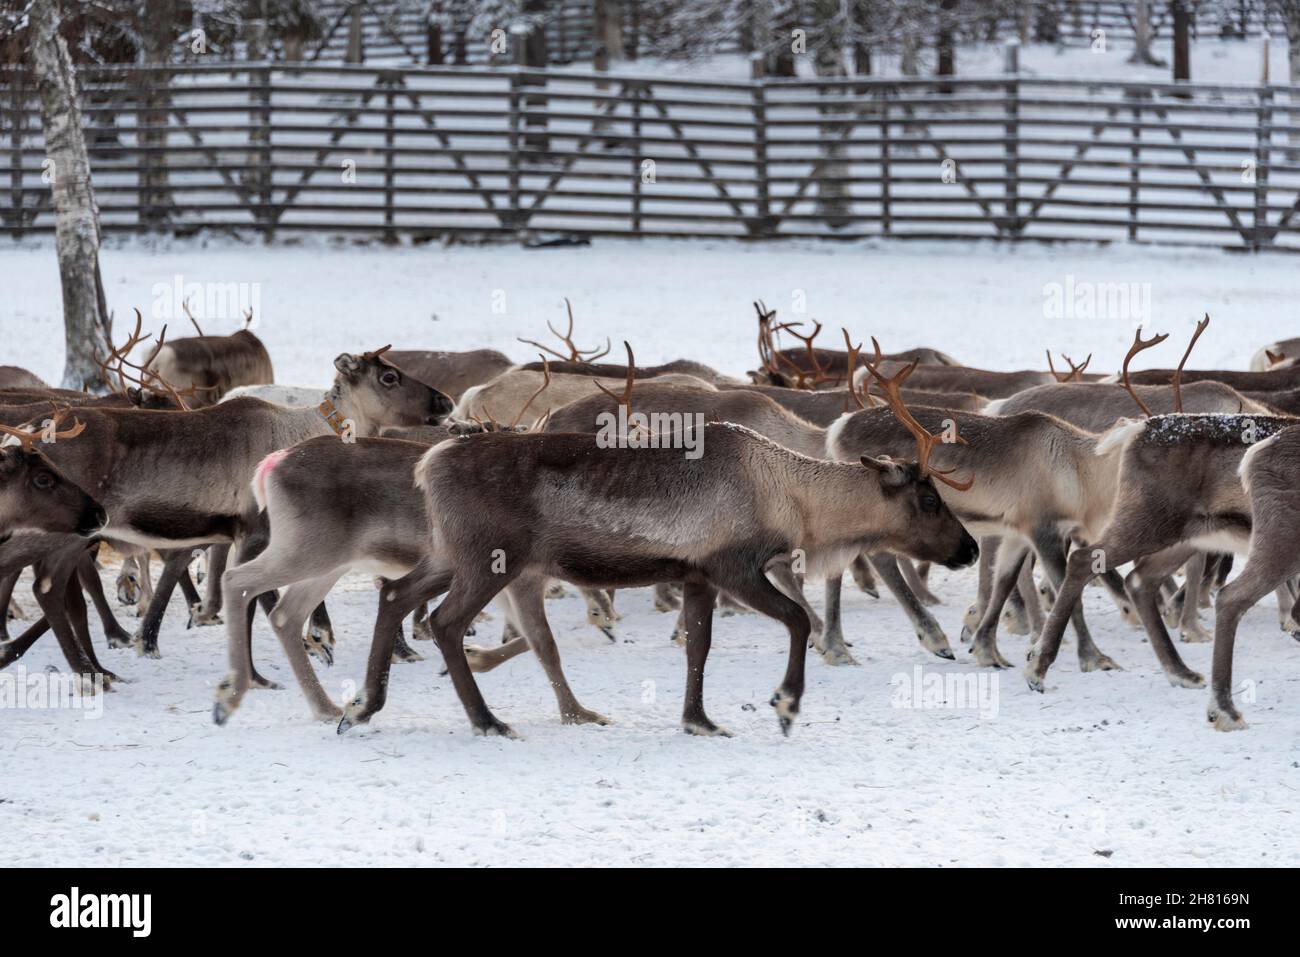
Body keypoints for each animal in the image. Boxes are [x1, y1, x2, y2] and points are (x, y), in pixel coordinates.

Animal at [332, 381, 979, 740]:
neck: (793, 497)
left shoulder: (696, 574)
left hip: (449, 553)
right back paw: (485, 720)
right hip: (491, 558)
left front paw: (699, 720)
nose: (970, 549)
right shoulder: (733, 566)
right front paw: (786, 705)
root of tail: (428, 463)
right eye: (928, 500)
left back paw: (361, 706)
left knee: (394, 594)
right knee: (444, 622)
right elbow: (798, 620)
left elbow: (699, 647)